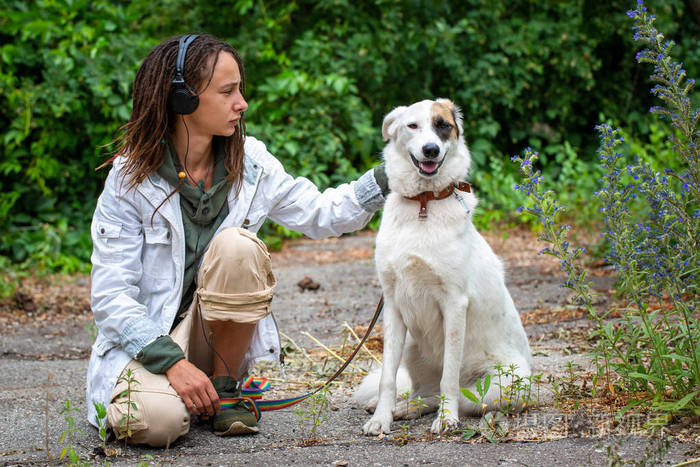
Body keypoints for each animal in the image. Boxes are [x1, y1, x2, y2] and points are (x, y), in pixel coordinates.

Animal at [352, 98, 532, 436]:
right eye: (413, 126)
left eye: (443, 125)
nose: (431, 150)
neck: (424, 203)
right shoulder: (392, 306)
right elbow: (387, 379)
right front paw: (381, 418)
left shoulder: (454, 304)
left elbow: (449, 375)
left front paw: (447, 420)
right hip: (411, 345)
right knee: (424, 392)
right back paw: (402, 408)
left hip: (506, 384)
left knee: (457, 394)